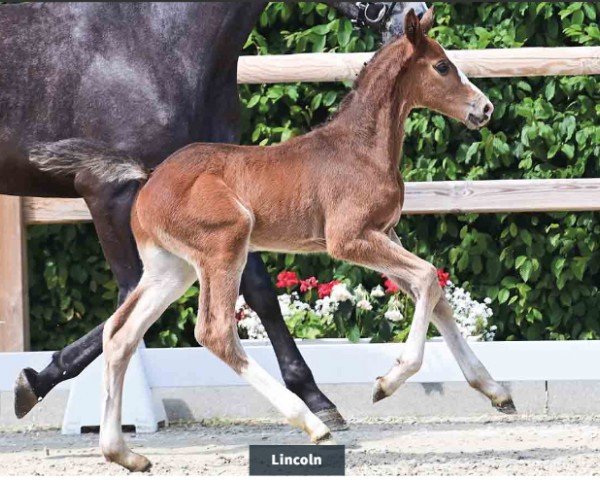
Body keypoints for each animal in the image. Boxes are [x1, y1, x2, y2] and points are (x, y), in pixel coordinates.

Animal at [101, 9, 512, 470]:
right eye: (442, 66)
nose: (485, 107)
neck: (361, 148)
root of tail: (147, 188)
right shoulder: (348, 239)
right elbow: (427, 279)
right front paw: (386, 382)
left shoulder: (385, 231)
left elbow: (436, 298)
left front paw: (496, 392)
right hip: (225, 245)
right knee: (214, 331)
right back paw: (314, 423)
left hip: (172, 269)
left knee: (119, 333)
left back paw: (122, 453)